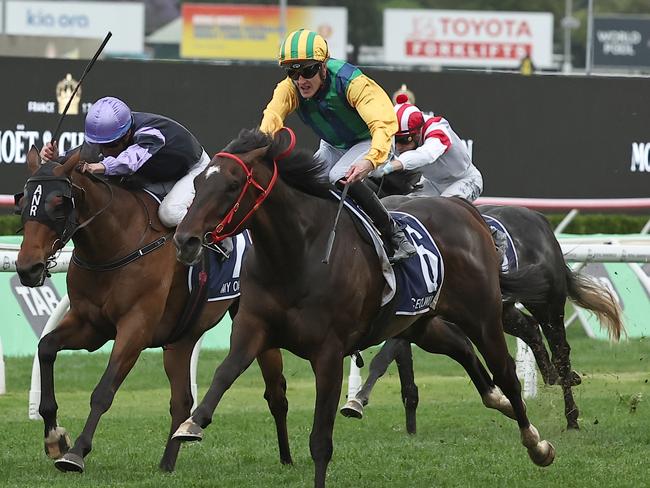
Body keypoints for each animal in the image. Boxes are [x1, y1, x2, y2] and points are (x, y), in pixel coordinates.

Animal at [15, 148, 290, 472]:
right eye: (23, 200)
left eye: (59, 202)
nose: (27, 268)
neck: (115, 243)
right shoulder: (90, 325)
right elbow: (46, 347)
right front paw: (54, 436)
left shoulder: (136, 327)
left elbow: (104, 391)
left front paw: (77, 452)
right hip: (182, 338)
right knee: (182, 400)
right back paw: (167, 463)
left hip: (258, 323)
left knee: (276, 393)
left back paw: (287, 458)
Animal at [173, 127, 556, 486]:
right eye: (198, 182)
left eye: (232, 185)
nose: (184, 240)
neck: (297, 255)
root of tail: (465, 210)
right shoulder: (253, 327)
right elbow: (225, 372)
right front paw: (191, 424)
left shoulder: (328, 352)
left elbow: (320, 440)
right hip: (421, 322)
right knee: (462, 348)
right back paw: (498, 401)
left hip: (482, 315)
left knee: (506, 371)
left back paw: (536, 443)